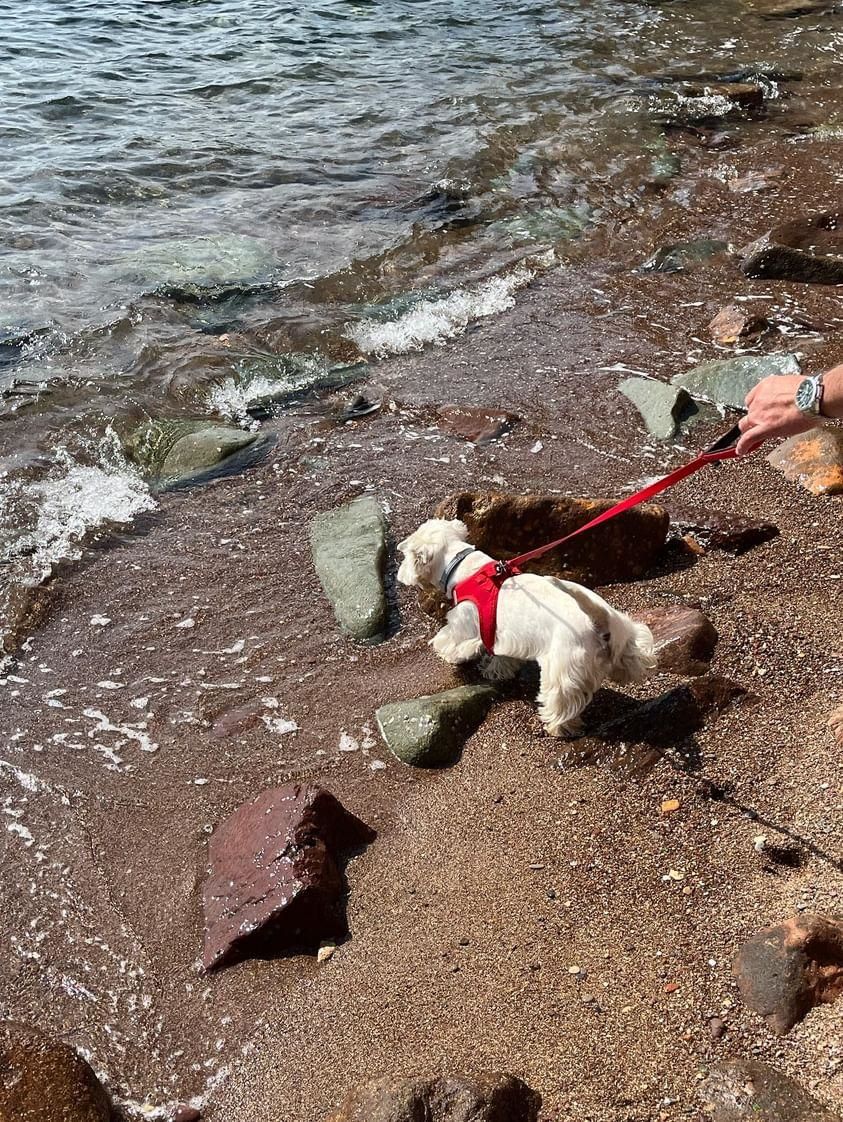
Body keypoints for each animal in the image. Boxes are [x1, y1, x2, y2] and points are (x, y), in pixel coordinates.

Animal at [397, 520, 660, 740]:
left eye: (406, 555)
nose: (400, 574)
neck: (463, 568)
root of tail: (597, 623)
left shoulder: (464, 626)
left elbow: (452, 642)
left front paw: (449, 655)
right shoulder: (500, 634)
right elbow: (502, 658)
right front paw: (495, 671)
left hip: (560, 669)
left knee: (561, 702)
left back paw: (558, 726)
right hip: (624, 632)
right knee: (632, 657)